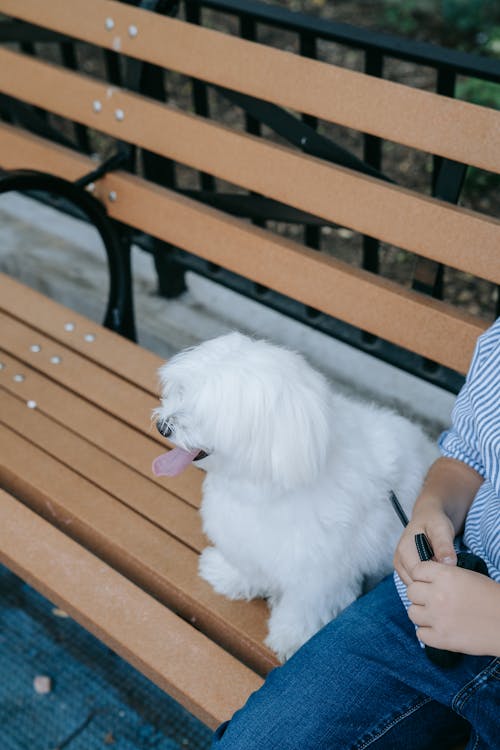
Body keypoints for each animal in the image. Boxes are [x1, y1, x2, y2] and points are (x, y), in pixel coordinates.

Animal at [152, 332, 438, 660]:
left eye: (209, 413)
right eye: (182, 392)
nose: (162, 426)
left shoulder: (319, 573)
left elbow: (304, 607)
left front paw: (292, 637)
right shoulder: (248, 539)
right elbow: (247, 565)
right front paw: (228, 575)